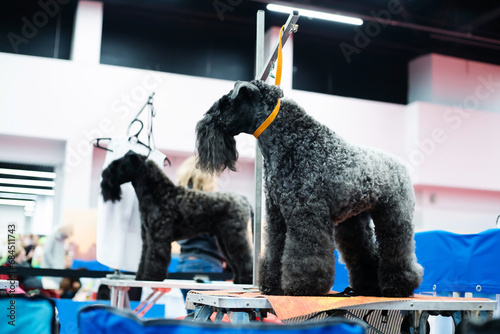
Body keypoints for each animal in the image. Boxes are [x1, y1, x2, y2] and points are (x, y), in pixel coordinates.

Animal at [100, 152, 254, 284]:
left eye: (117, 164)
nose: (104, 176)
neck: (159, 193)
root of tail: (243, 199)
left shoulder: (158, 237)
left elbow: (156, 257)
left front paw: (151, 277)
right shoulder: (147, 237)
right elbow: (145, 256)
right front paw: (140, 276)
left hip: (233, 236)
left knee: (245, 257)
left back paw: (246, 279)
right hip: (224, 239)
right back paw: (238, 279)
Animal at [197, 79, 424, 296]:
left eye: (225, 104)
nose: (202, 126)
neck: (291, 142)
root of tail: (400, 164)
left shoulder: (305, 212)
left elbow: (305, 253)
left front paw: (303, 286)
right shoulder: (277, 216)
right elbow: (275, 250)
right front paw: (272, 286)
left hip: (394, 216)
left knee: (397, 249)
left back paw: (399, 286)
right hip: (353, 223)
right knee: (364, 252)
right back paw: (368, 287)